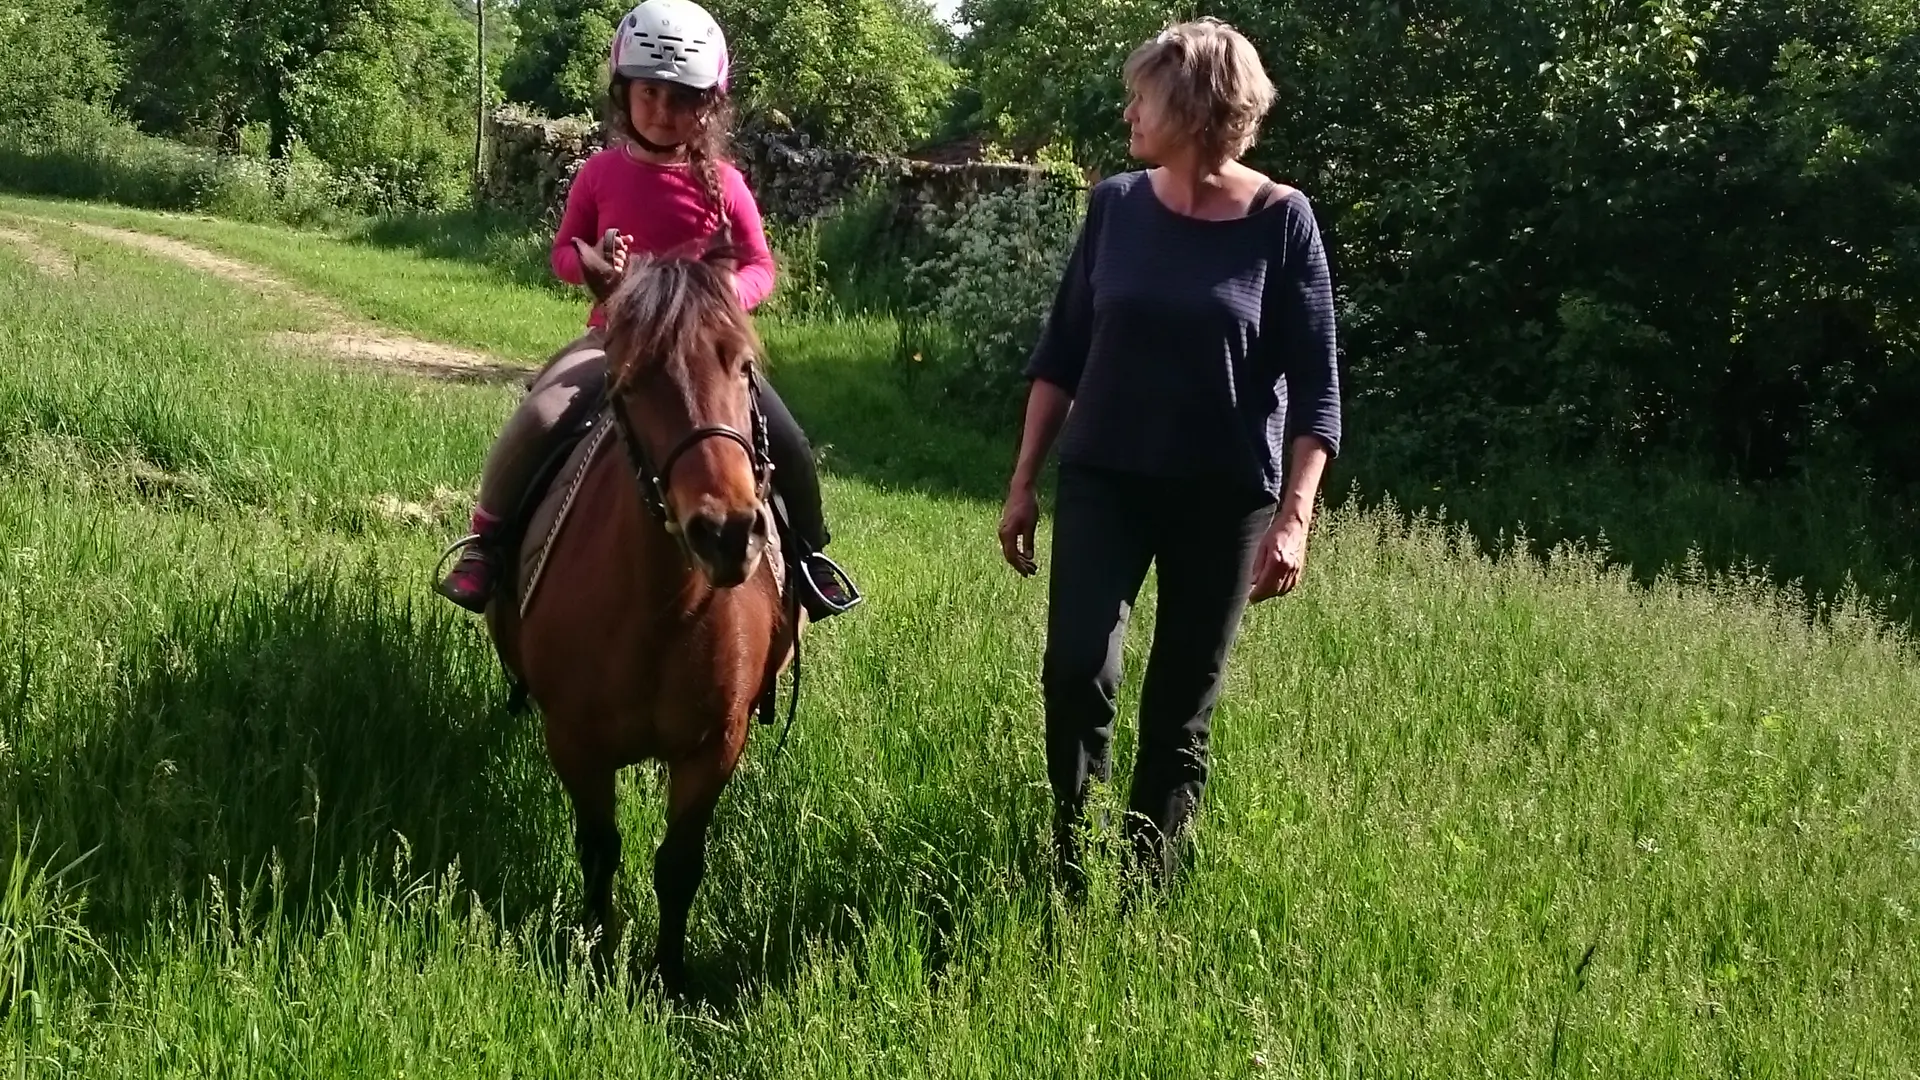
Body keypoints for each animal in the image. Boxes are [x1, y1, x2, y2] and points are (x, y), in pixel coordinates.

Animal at [495, 237, 802, 991]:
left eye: (743, 367)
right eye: (630, 384)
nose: (726, 533)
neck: (666, 611)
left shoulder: (714, 746)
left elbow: (679, 865)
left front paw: (669, 976)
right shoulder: (574, 741)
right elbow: (600, 849)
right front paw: (602, 959)